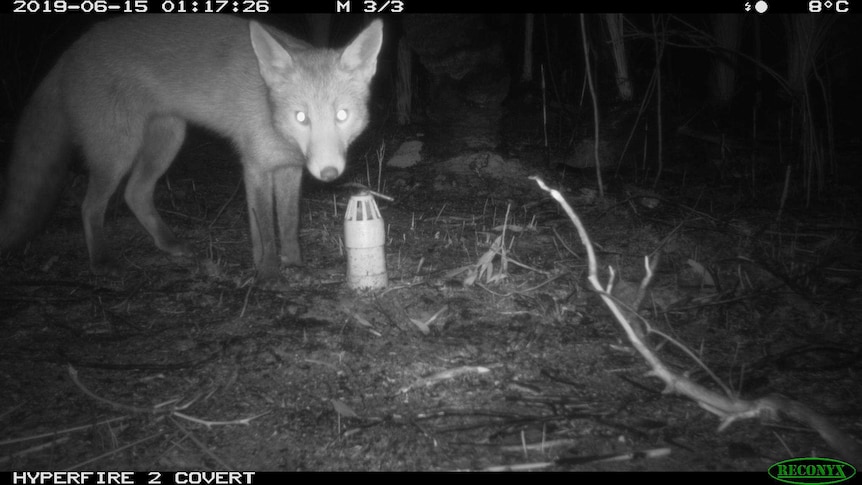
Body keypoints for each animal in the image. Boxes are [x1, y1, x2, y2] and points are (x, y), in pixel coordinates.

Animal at [0, 14, 384, 284]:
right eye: (301, 117)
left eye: (342, 115)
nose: (329, 172)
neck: (269, 113)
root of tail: (71, 51)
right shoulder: (256, 166)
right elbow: (263, 226)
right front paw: (269, 274)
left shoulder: (288, 169)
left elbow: (288, 224)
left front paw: (295, 264)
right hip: (117, 152)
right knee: (90, 206)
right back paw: (101, 261)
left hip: (168, 139)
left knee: (135, 194)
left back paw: (169, 244)